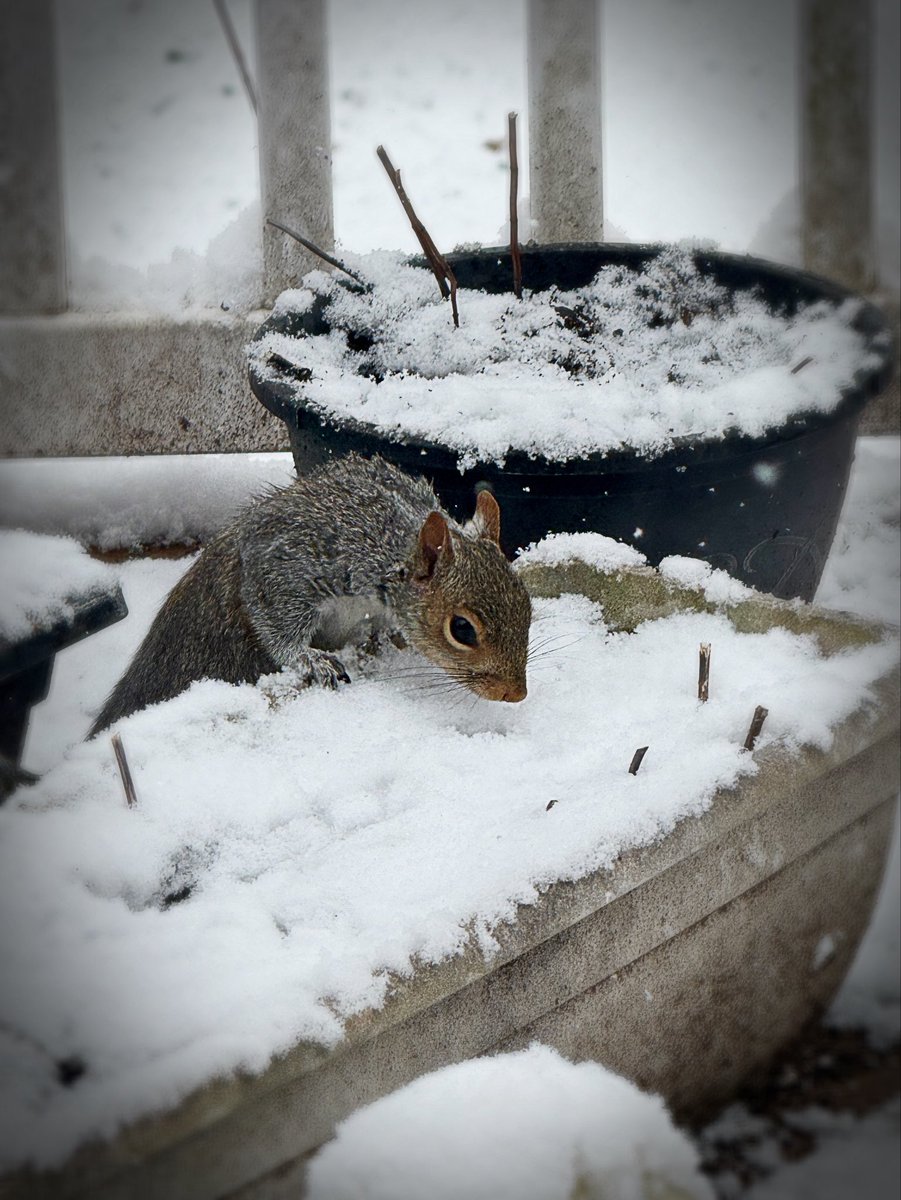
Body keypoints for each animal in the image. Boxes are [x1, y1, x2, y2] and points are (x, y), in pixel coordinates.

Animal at [89, 454, 532, 735]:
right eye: (462, 629)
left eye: (528, 607)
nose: (515, 694)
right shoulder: (293, 562)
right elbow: (276, 621)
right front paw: (312, 660)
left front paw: (387, 637)